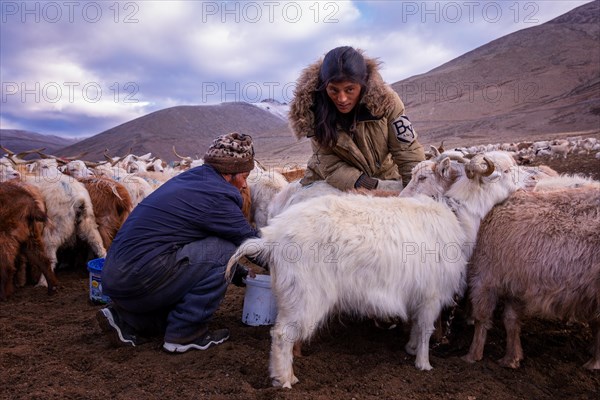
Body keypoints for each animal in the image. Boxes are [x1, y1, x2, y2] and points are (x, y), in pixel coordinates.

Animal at [464, 187, 600, 368]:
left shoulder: (484, 278)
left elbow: (481, 318)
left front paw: (473, 355)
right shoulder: (515, 283)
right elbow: (510, 320)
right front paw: (511, 358)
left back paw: (594, 362)